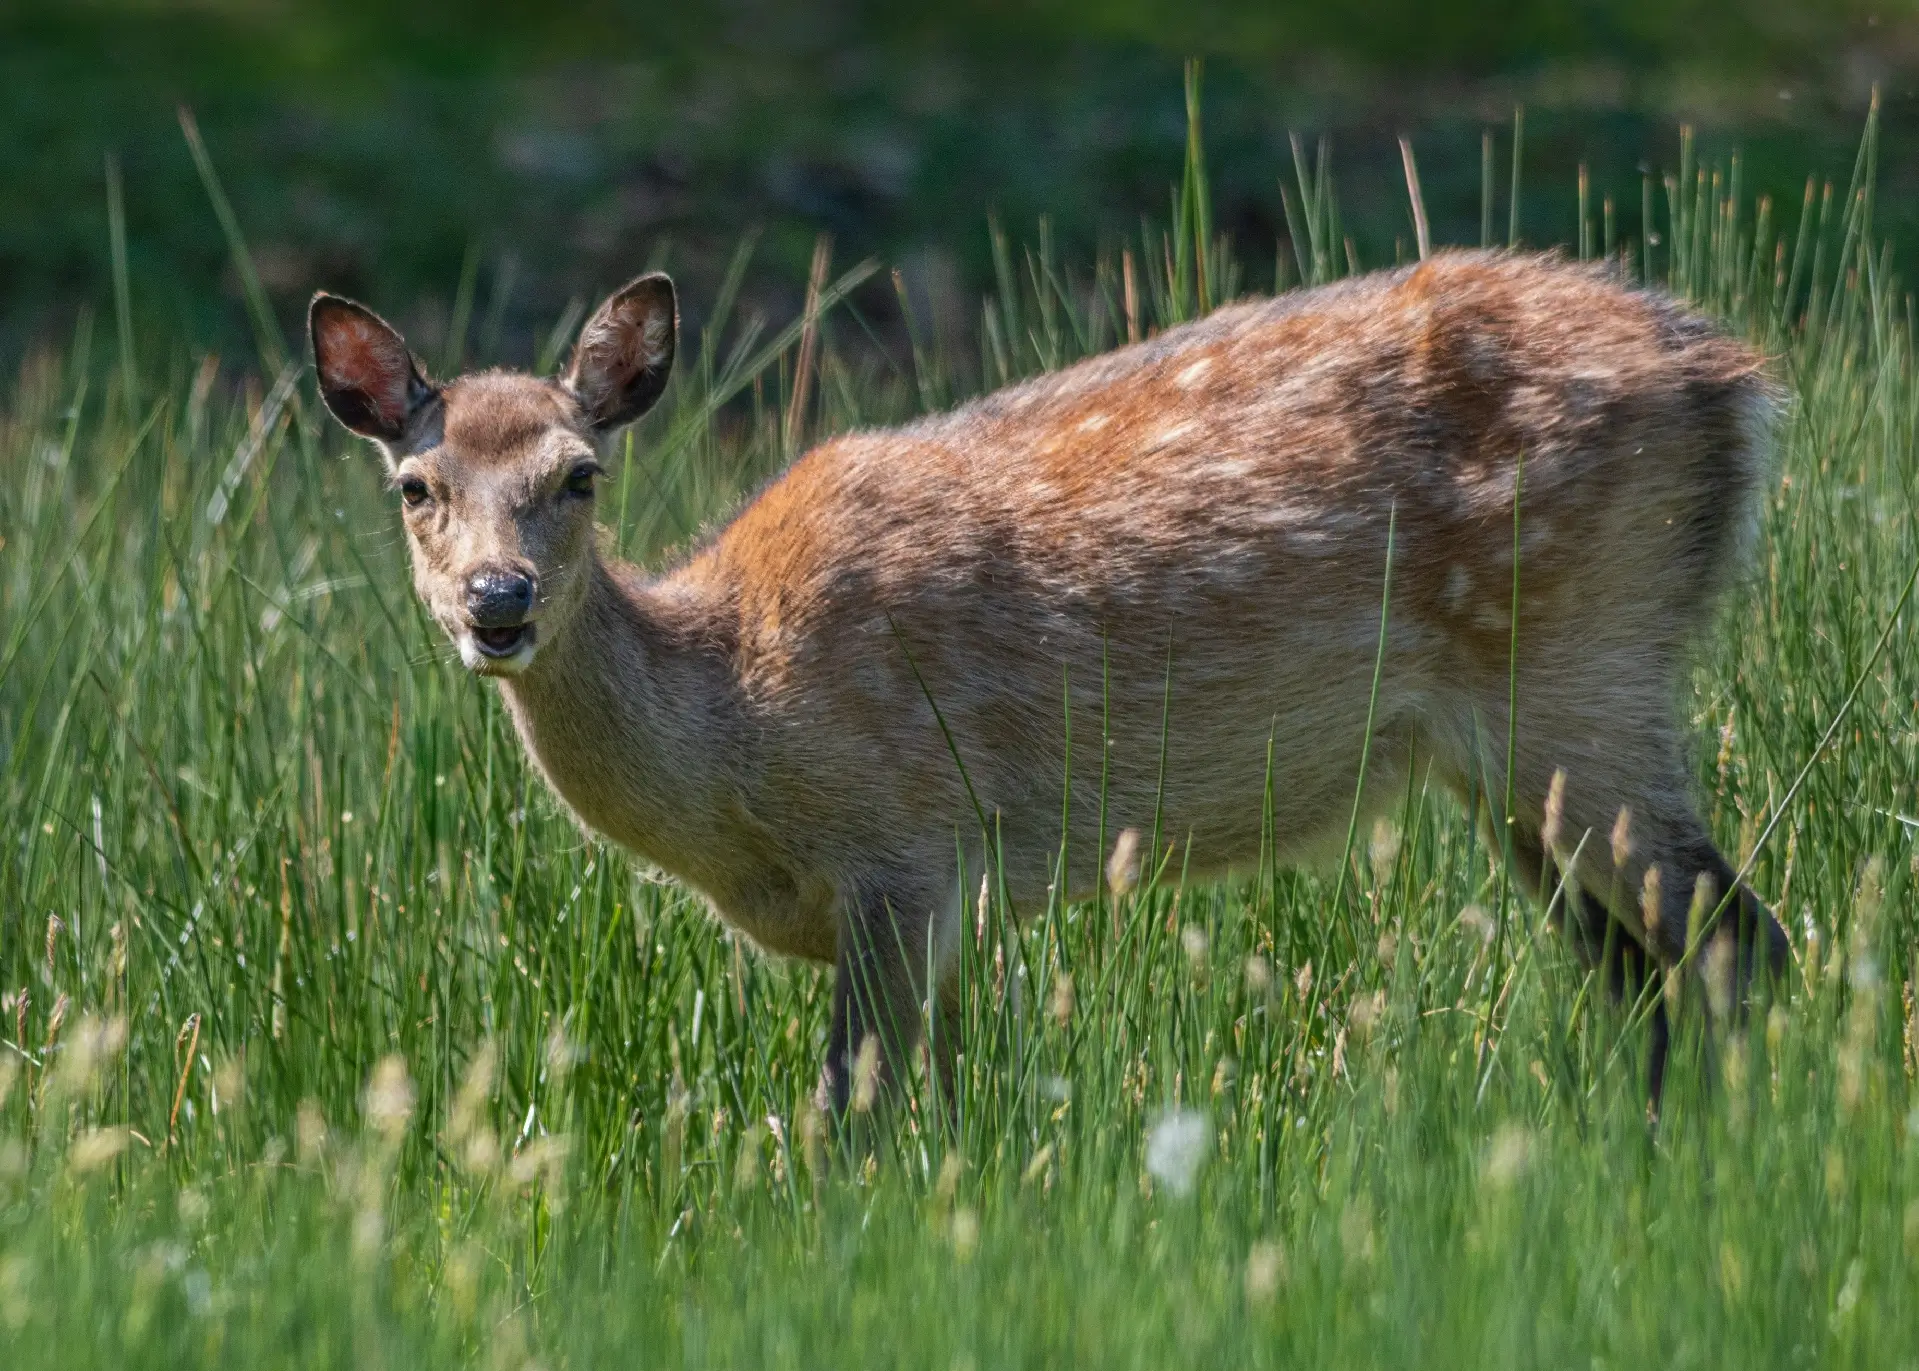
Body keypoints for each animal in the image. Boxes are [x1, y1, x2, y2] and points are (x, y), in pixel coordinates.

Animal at [310, 249, 1790, 1116]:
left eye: (579, 474)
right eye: (414, 487)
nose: (497, 603)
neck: (739, 739)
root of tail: (1738, 378)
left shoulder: (906, 844)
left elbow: (850, 1110)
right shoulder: (952, 900)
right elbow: (968, 1103)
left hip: (1582, 661)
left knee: (1737, 942)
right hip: (1522, 741)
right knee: (1644, 968)